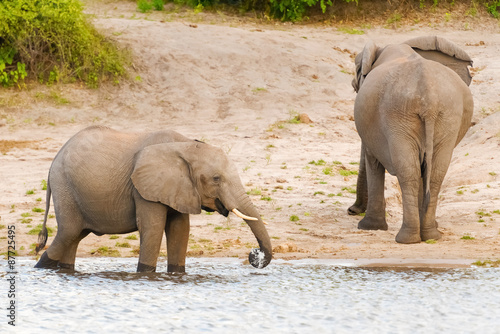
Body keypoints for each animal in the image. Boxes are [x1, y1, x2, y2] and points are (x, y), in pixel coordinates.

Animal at [34, 125, 274, 272]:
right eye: (216, 178)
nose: (254, 256)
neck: (186, 145)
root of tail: (55, 158)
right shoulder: (143, 187)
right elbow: (153, 228)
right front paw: (145, 274)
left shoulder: (179, 188)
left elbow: (180, 230)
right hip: (65, 186)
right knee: (68, 233)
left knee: (74, 238)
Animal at [348, 36, 472, 244]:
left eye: (354, 86)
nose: (352, 211)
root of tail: (429, 99)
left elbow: (373, 161)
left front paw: (369, 227)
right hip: (445, 117)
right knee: (434, 172)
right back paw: (430, 235)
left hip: (400, 116)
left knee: (409, 171)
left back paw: (407, 238)